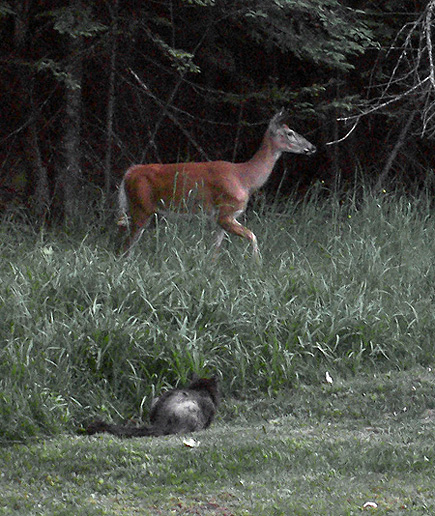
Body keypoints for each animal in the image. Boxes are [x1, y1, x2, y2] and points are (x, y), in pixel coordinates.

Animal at [119, 111, 316, 260]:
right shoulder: (226, 212)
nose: (312, 147)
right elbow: (253, 236)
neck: (245, 178)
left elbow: (215, 249)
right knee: (126, 243)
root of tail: (129, 173)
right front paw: (257, 264)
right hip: (140, 208)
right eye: (290, 133)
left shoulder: (220, 218)